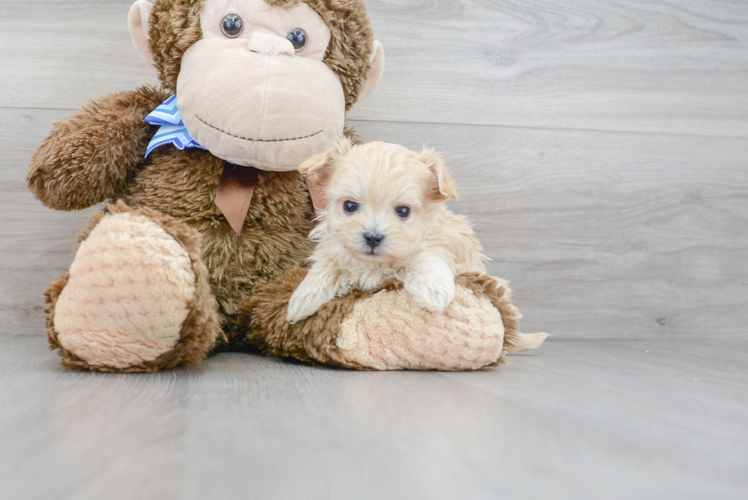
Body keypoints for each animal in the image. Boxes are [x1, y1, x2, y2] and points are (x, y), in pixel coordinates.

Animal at [284, 139, 488, 324]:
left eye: (403, 211)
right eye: (350, 206)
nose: (373, 238)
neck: (376, 264)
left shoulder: (443, 239)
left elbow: (427, 256)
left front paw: (432, 290)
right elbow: (327, 264)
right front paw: (304, 297)